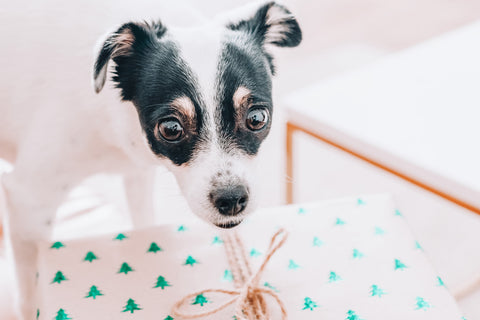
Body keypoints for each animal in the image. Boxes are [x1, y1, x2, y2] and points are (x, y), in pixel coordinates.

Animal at [0, 1, 300, 318]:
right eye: (171, 129)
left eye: (257, 118)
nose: (231, 199)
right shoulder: (27, 200)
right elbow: (29, 290)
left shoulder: (136, 173)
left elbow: (143, 220)